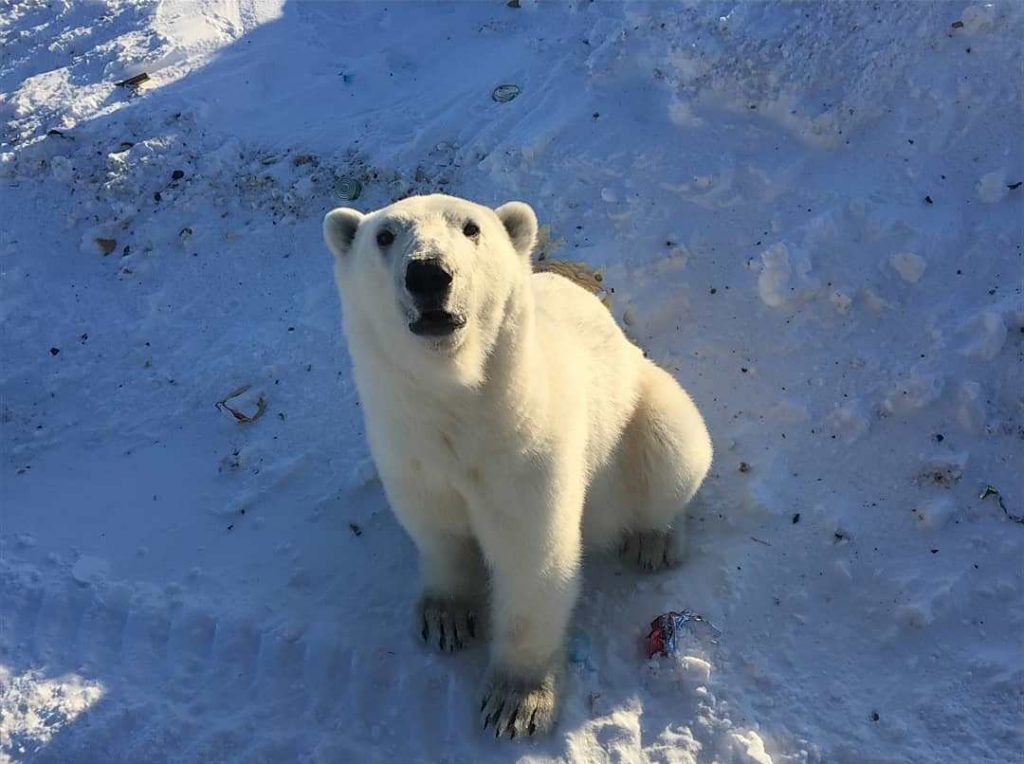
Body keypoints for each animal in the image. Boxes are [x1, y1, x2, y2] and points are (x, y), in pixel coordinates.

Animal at [323, 193, 708, 733]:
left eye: (471, 228)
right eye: (384, 235)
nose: (428, 274)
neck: (460, 402)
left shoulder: (527, 449)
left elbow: (532, 557)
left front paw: (516, 702)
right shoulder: (408, 446)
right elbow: (438, 530)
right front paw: (445, 618)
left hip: (642, 409)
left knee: (672, 449)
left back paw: (654, 540)